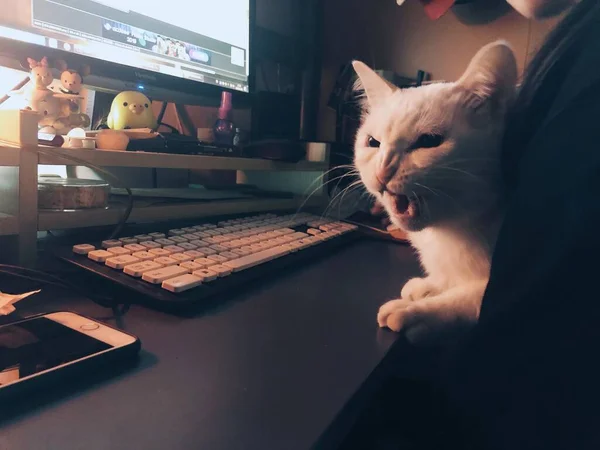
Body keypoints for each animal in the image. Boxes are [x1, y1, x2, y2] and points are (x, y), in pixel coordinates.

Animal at [354, 42, 516, 344]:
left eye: (428, 141)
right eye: (372, 142)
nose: (382, 171)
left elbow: (468, 298)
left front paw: (415, 311)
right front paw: (428, 286)